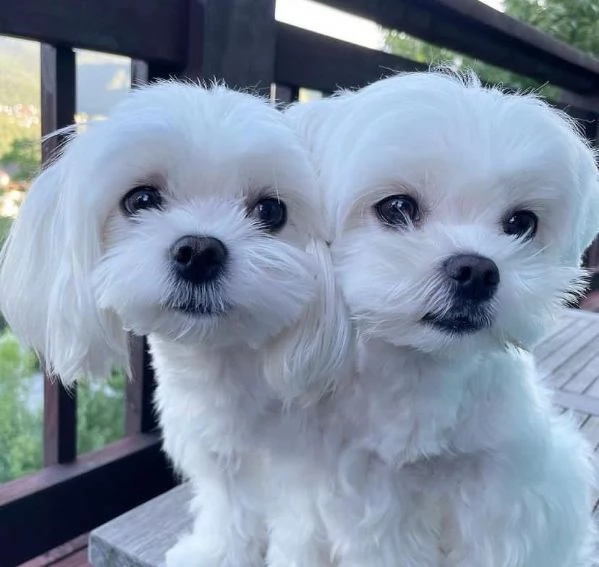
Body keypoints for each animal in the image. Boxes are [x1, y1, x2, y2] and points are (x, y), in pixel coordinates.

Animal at [0, 81, 354, 567]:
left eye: (271, 211)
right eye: (141, 199)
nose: (199, 251)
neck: (225, 366)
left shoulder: (307, 459)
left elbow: (299, 525)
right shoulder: (214, 445)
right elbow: (229, 499)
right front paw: (219, 551)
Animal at [288, 72, 596, 567]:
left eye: (521, 223)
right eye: (397, 207)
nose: (477, 270)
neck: (425, 368)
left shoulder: (503, 488)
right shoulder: (375, 493)